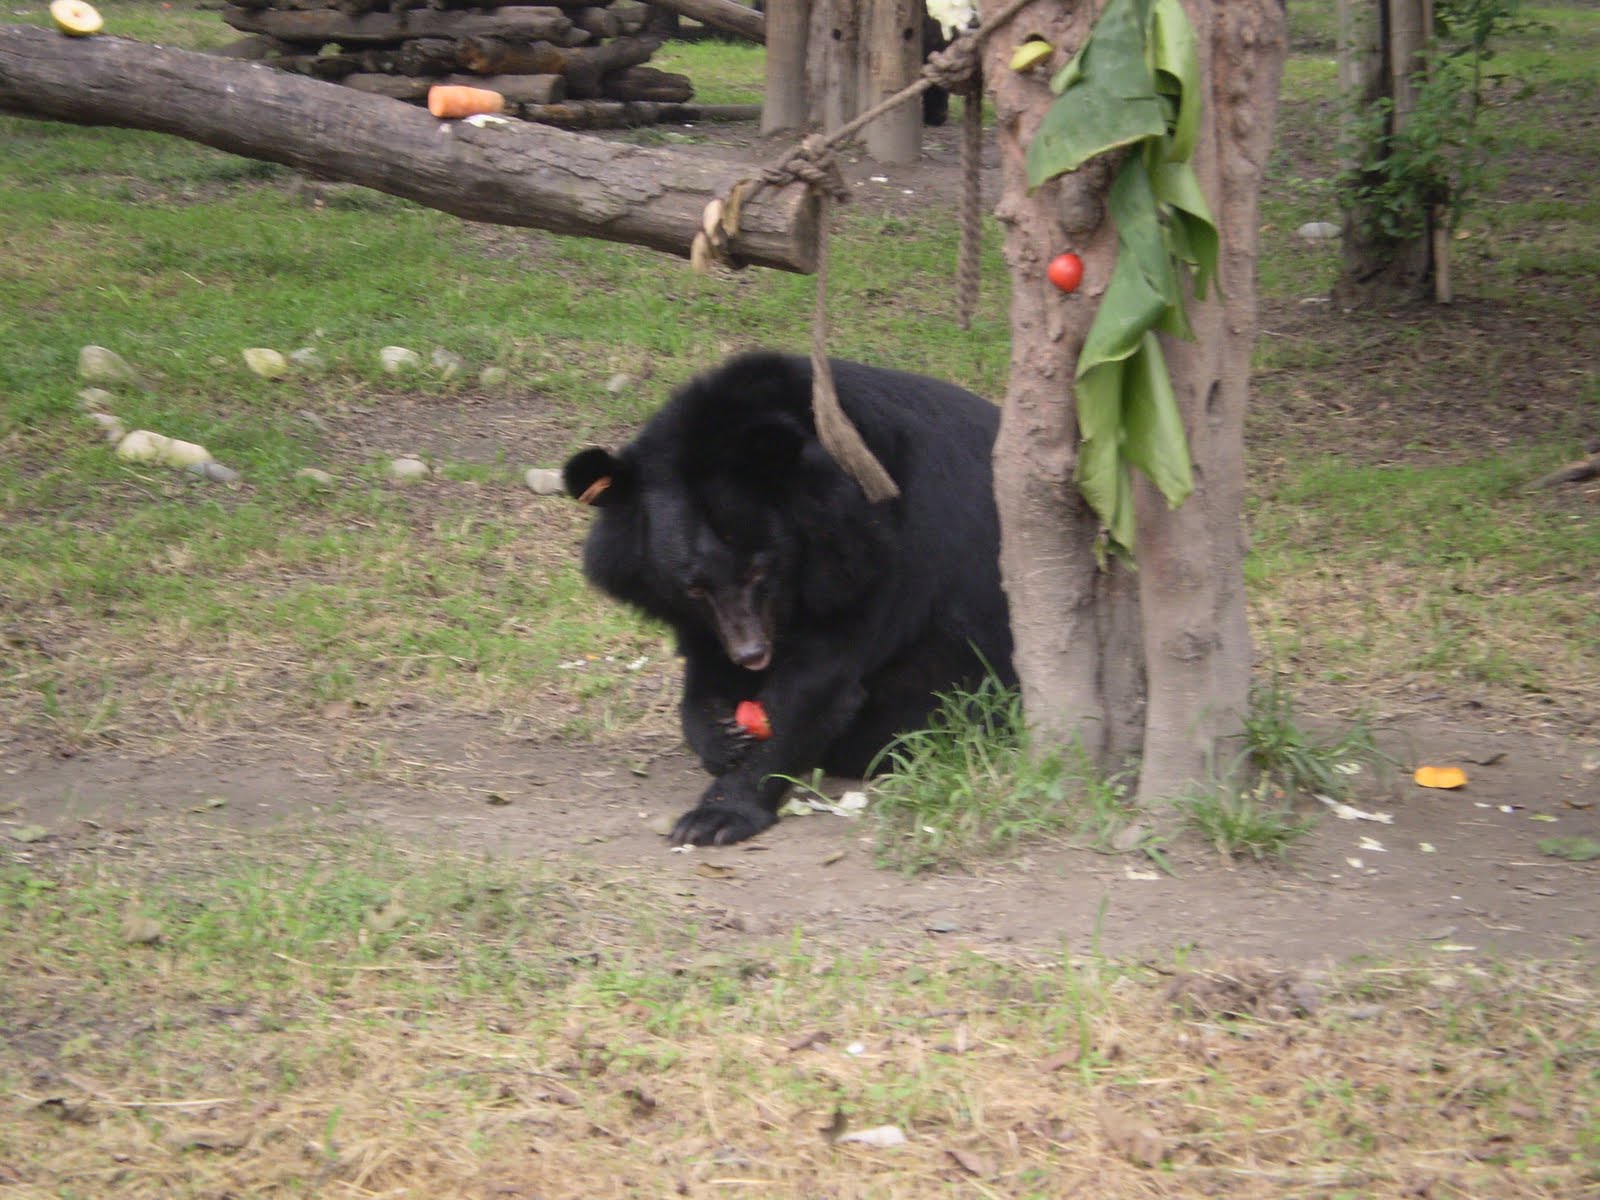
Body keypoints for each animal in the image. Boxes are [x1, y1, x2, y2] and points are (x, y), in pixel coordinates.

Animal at [563, 351, 1014, 846]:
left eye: (760, 568)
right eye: (694, 586)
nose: (752, 654)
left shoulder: (883, 557)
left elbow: (815, 684)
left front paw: (717, 816)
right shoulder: (701, 613)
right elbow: (704, 662)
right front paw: (720, 734)